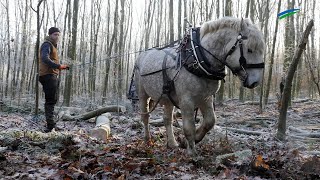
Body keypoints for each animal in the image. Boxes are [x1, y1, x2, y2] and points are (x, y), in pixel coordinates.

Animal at [134, 17, 264, 157]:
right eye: (249, 49)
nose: (256, 82)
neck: (197, 58)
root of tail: (141, 55)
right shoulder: (186, 100)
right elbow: (188, 127)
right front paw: (191, 151)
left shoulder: (206, 98)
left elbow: (210, 121)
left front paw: (193, 139)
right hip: (142, 94)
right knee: (145, 117)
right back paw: (147, 139)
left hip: (167, 97)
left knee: (167, 119)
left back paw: (172, 143)